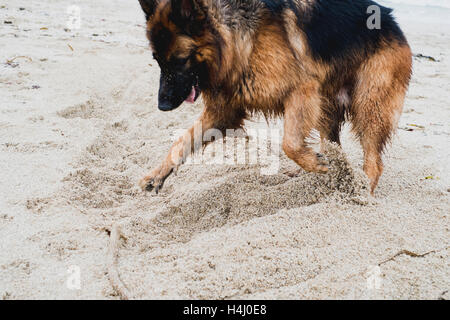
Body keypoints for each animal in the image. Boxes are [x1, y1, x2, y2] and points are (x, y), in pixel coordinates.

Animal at [136, 0, 412, 195]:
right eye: (157, 60)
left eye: (180, 60)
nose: (162, 105)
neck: (240, 37)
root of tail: (392, 20)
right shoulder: (222, 112)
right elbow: (181, 141)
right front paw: (156, 175)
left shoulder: (302, 90)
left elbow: (289, 144)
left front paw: (313, 163)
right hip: (326, 108)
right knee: (333, 147)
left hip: (369, 108)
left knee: (373, 162)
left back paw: (361, 192)